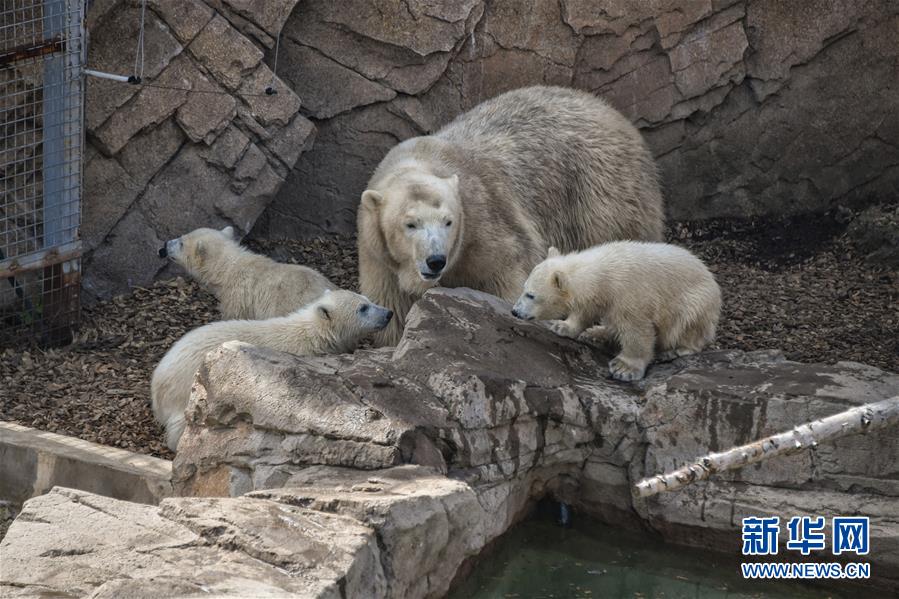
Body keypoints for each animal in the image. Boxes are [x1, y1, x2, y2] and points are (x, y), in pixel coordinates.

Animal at [356, 86, 660, 344]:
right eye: (410, 224)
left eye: (448, 221)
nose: (435, 260)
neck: (422, 159)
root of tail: (611, 111)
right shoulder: (380, 258)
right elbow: (394, 307)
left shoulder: (485, 224)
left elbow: (507, 275)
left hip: (600, 191)